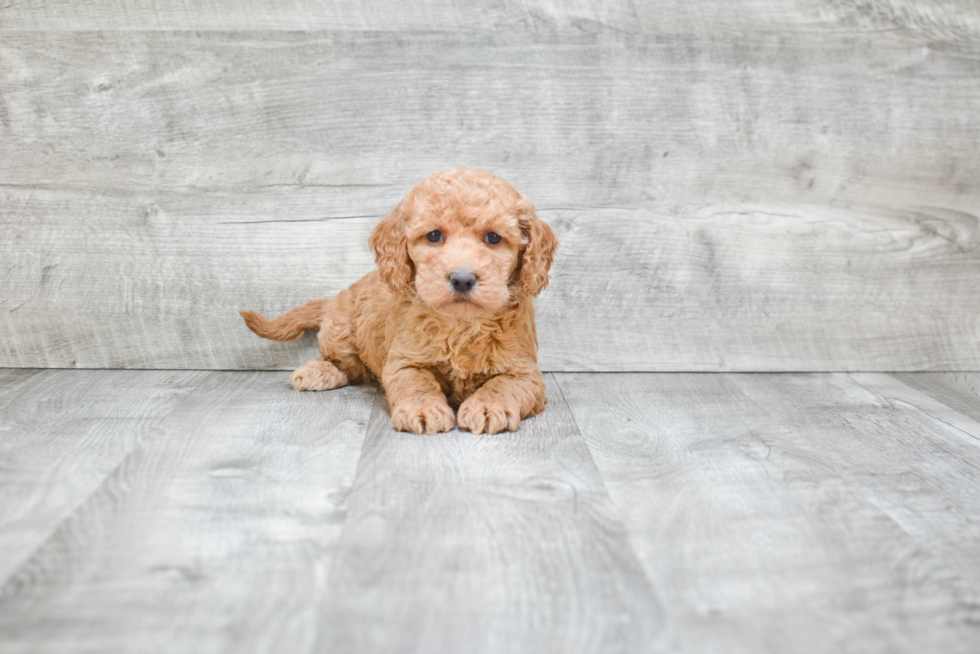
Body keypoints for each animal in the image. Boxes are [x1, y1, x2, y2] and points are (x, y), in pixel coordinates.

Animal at [239, 168, 560, 436]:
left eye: (494, 238)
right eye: (434, 235)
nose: (462, 279)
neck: (460, 322)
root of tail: (338, 297)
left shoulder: (525, 371)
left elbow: (502, 385)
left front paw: (486, 405)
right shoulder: (405, 361)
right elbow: (416, 383)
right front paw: (424, 409)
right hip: (340, 330)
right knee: (348, 367)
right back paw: (318, 371)